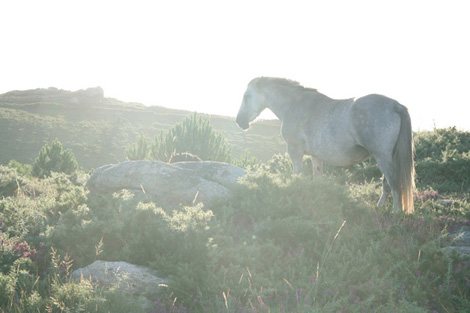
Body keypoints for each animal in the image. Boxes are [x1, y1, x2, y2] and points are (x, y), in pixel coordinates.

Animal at [237, 76, 414, 212]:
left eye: (247, 96)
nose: (239, 121)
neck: (294, 105)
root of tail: (395, 105)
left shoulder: (295, 151)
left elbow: (297, 175)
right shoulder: (316, 157)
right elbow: (317, 178)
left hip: (382, 157)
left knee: (394, 183)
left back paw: (396, 213)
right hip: (387, 157)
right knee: (387, 184)